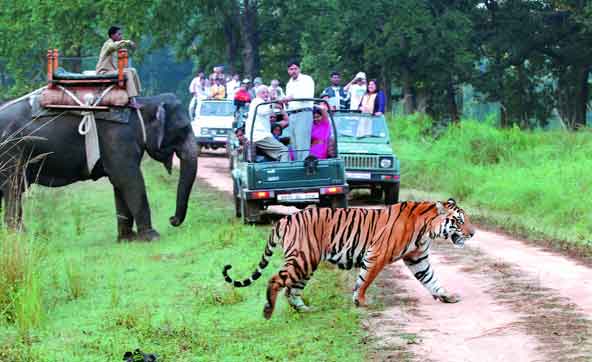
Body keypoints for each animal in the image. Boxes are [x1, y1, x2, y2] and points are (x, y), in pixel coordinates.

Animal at [0, 92, 199, 240]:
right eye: (183, 129)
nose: (172, 219)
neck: (144, 103)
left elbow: (120, 183)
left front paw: (128, 239)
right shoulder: (118, 137)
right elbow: (128, 179)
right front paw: (152, 237)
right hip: (10, 151)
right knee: (14, 187)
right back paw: (20, 236)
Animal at [222, 198, 476, 320]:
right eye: (459, 221)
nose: (473, 233)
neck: (427, 229)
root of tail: (285, 219)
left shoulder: (418, 259)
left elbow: (431, 279)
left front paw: (447, 296)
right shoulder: (377, 255)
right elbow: (365, 279)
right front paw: (361, 301)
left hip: (306, 263)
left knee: (291, 289)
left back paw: (304, 310)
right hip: (303, 258)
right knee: (276, 280)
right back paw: (268, 310)